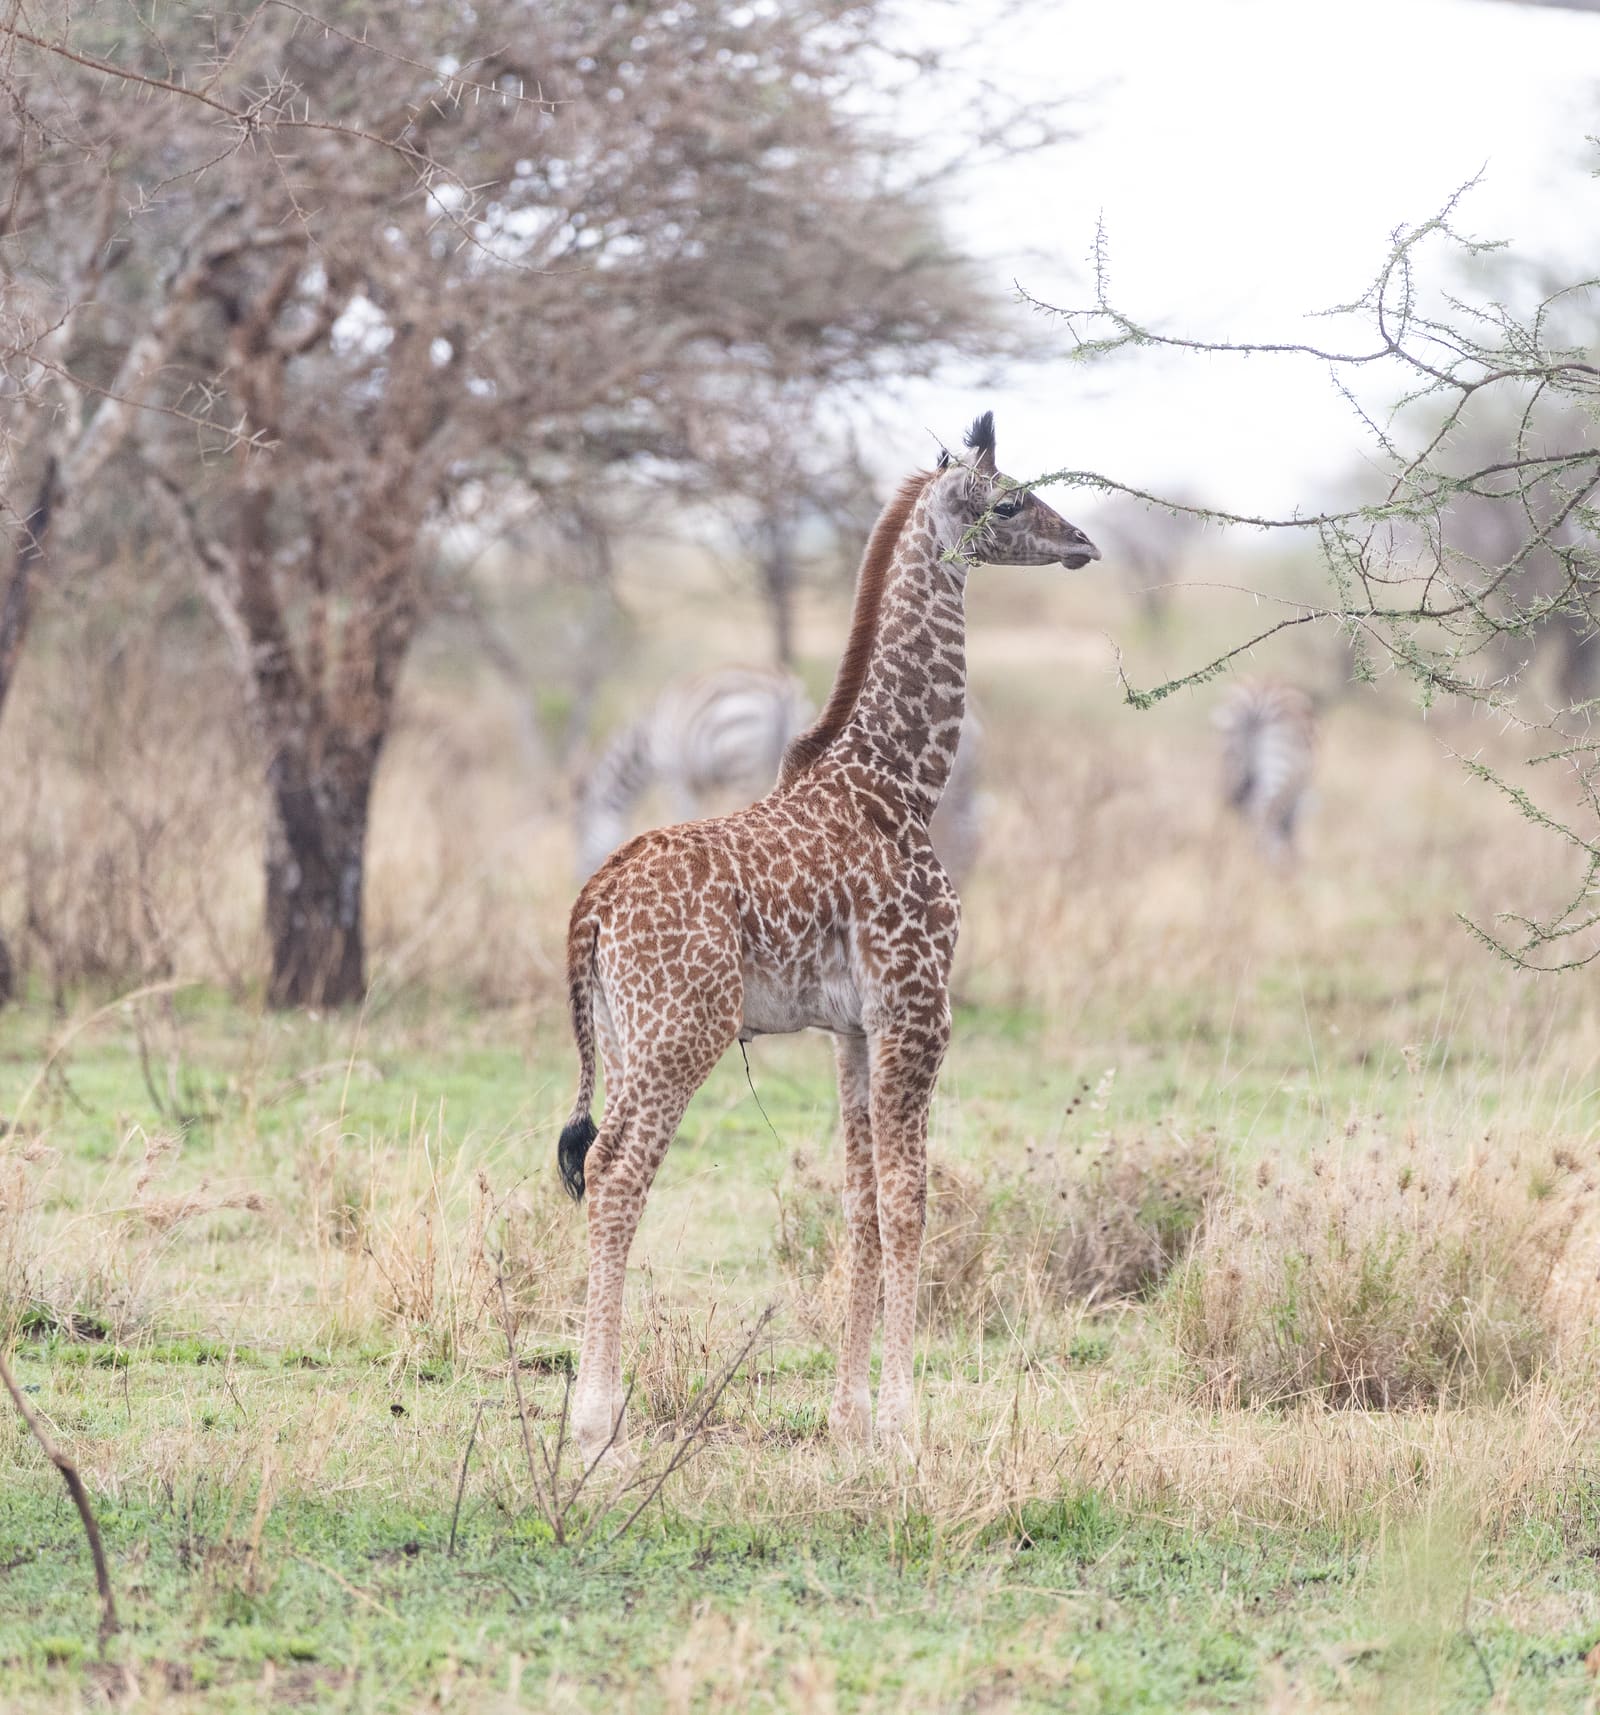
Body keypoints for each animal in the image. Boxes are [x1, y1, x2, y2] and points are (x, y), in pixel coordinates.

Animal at [556, 413, 1101, 1461]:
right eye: (1013, 501)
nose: (1084, 544)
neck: (902, 781)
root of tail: (593, 901)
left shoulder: (851, 1028)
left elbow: (859, 1207)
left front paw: (849, 1417)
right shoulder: (919, 1009)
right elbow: (910, 1199)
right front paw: (903, 1421)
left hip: (627, 1030)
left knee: (606, 1166)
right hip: (681, 1031)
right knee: (615, 1170)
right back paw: (598, 1420)